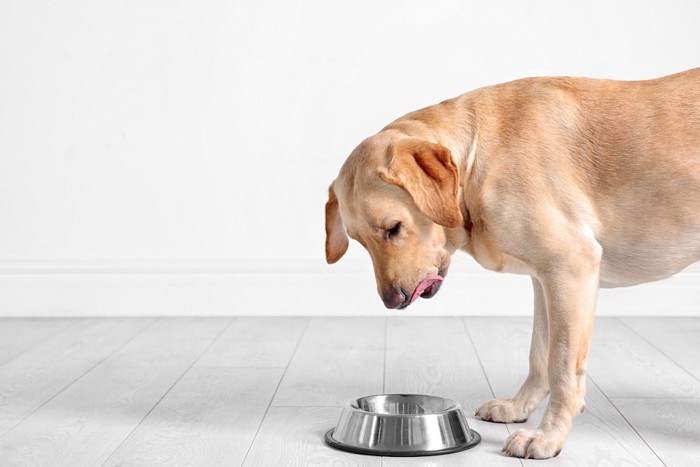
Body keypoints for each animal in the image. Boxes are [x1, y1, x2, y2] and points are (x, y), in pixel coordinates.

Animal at [324, 67, 700, 458]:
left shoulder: (571, 267)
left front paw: (548, 436)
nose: (392, 301)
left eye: (393, 228)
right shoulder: (545, 279)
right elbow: (539, 356)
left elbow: (562, 367)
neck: (477, 158)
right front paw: (519, 408)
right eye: (359, 242)